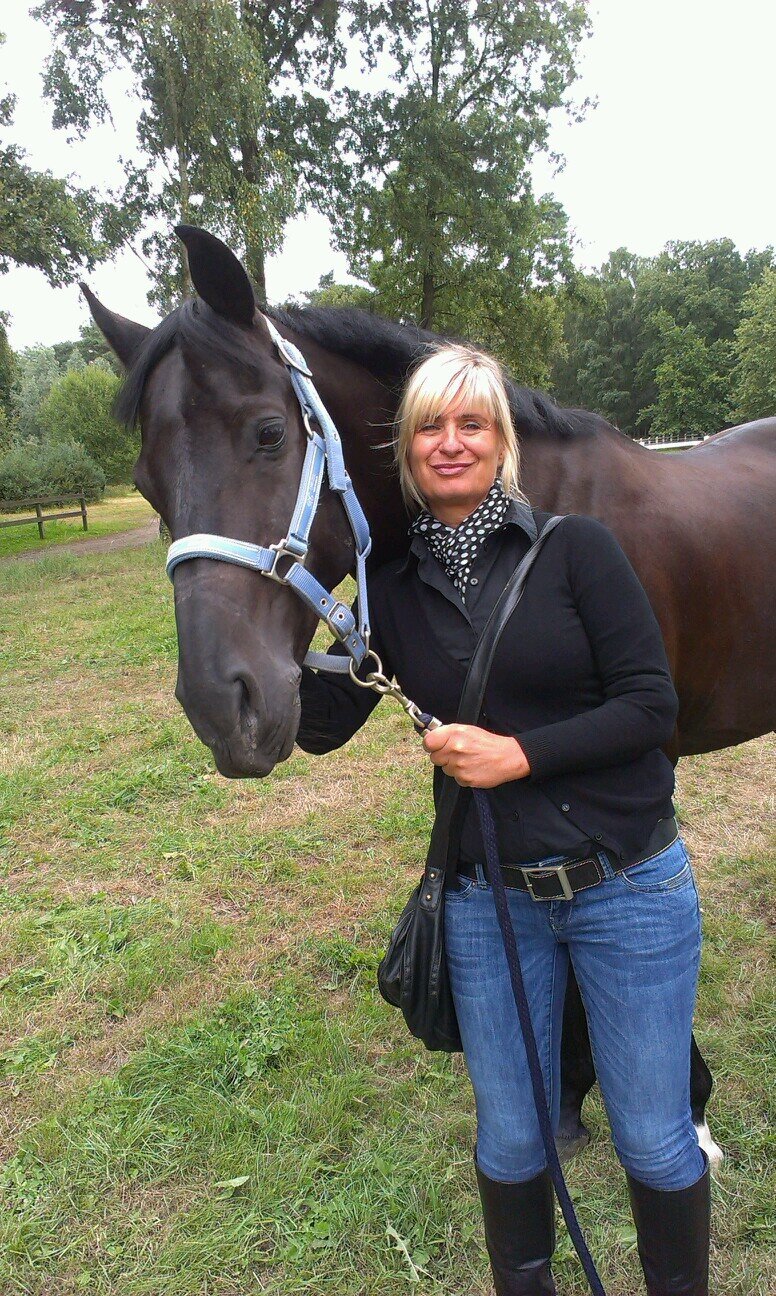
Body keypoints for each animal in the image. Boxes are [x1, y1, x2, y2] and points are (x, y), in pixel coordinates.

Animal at [83, 225, 775, 1163]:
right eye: (148, 482)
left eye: (268, 434)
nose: (223, 707)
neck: (522, 512)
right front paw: (565, 1098)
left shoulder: (646, 763)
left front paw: (691, 1112)